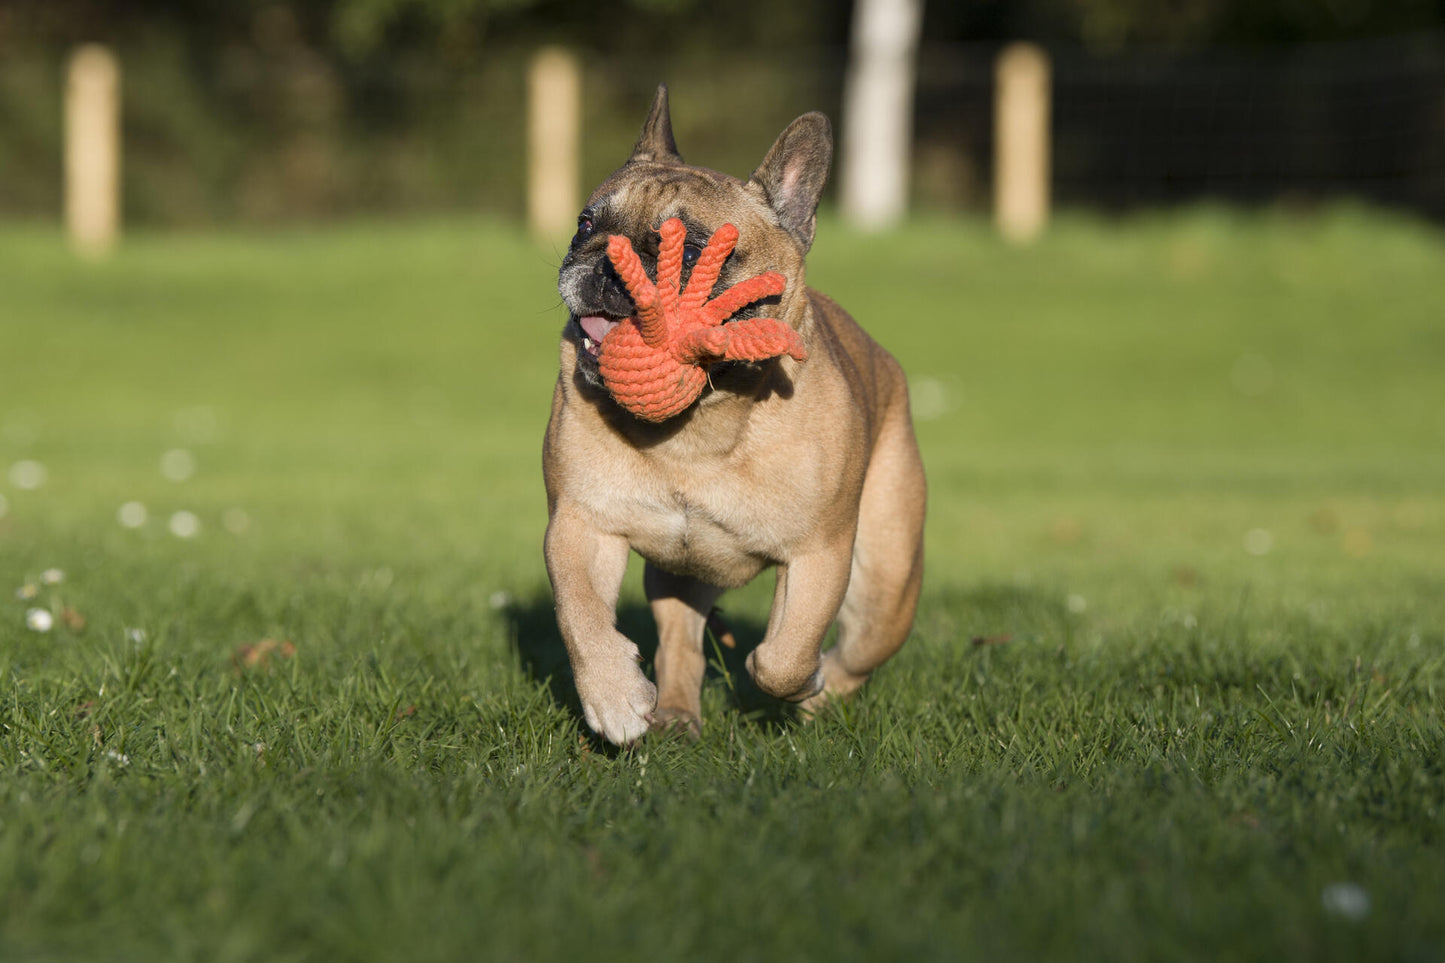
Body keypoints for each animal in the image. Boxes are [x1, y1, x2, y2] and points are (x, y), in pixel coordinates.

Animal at [543, 86, 924, 740]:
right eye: (585, 224)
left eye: (694, 250)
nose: (606, 259)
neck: (700, 421)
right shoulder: (580, 523)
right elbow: (580, 615)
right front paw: (613, 697)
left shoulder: (818, 555)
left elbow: (784, 656)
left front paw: (803, 685)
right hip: (678, 572)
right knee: (679, 641)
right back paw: (674, 711)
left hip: (886, 585)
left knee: (853, 654)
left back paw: (820, 698)